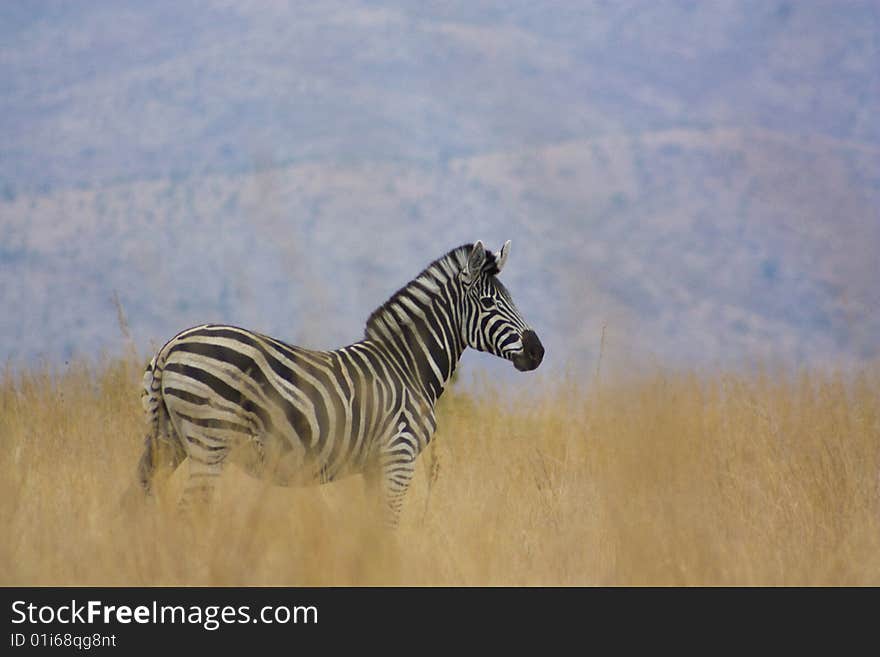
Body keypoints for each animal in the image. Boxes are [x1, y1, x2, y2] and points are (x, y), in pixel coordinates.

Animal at [137, 238, 544, 524]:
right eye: (490, 304)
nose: (537, 351)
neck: (409, 366)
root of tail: (171, 346)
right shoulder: (399, 455)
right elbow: (388, 527)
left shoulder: (374, 466)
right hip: (210, 443)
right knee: (188, 514)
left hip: (170, 441)